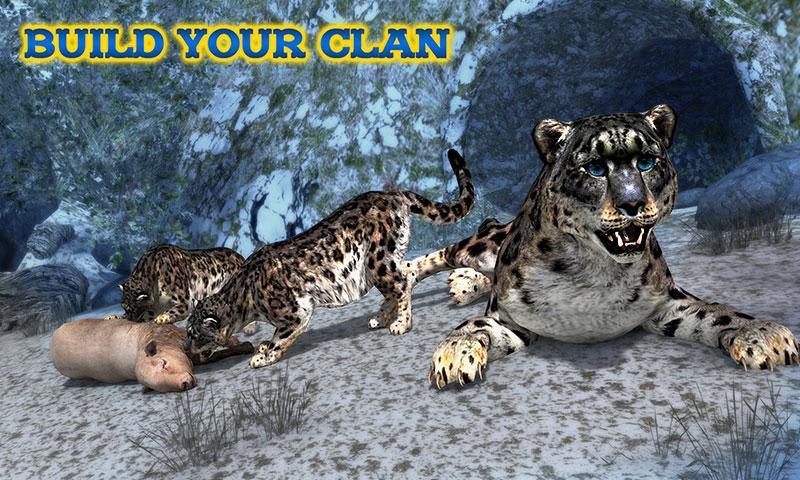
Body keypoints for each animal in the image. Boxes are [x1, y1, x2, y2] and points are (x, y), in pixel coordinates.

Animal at [108, 244, 244, 326]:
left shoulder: (184, 302)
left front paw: (162, 318)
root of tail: (239, 256)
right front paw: (113, 317)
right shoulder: (154, 309)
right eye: (124, 307)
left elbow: (173, 310)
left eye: (134, 308)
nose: (130, 320)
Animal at [184, 149, 475, 368]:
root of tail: (391, 193)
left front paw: (263, 356)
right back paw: (379, 318)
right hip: (382, 263)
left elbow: (281, 336)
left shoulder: (296, 311)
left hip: (378, 261)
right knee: (409, 274)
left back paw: (400, 323)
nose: (186, 349)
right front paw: (263, 347)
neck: (246, 303)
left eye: (195, 334)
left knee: (402, 284)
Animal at [426, 105, 800, 389]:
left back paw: (463, 284)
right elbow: (475, 325)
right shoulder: (509, 317)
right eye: (594, 168)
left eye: (646, 161)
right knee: (450, 250)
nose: (632, 203)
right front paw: (454, 354)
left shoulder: (666, 303)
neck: (592, 272)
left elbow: (717, 311)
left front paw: (762, 333)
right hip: (480, 245)